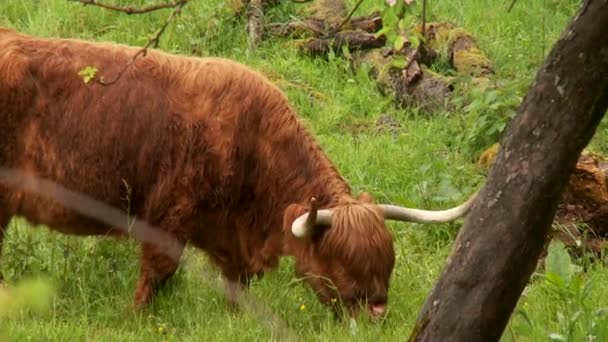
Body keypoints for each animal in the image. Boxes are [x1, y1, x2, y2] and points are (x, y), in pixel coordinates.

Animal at [0, 28, 476, 320]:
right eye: (344, 261)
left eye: (387, 262)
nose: (377, 312)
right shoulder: (170, 213)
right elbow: (158, 270)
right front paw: (137, 316)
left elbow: (235, 285)